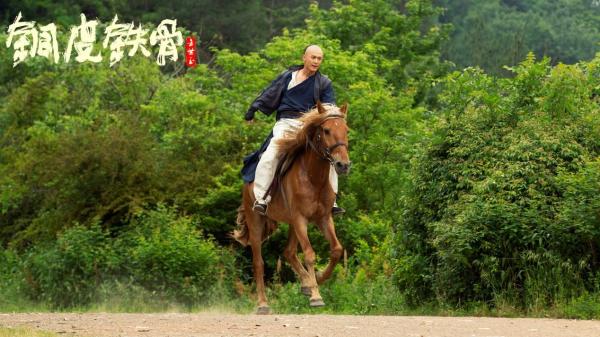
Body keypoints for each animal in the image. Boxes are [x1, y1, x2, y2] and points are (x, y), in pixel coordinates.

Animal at [232, 101, 350, 314]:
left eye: (346, 130)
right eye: (326, 130)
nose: (343, 165)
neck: (313, 177)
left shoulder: (323, 218)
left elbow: (336, 249)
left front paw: (318, 278)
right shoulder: (300, 219)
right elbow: (310, 255)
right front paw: (316, 296)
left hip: (292, 224)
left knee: (288, 252)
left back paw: (306, 283)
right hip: (257, 222)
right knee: (258, 262)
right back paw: (263, 304)